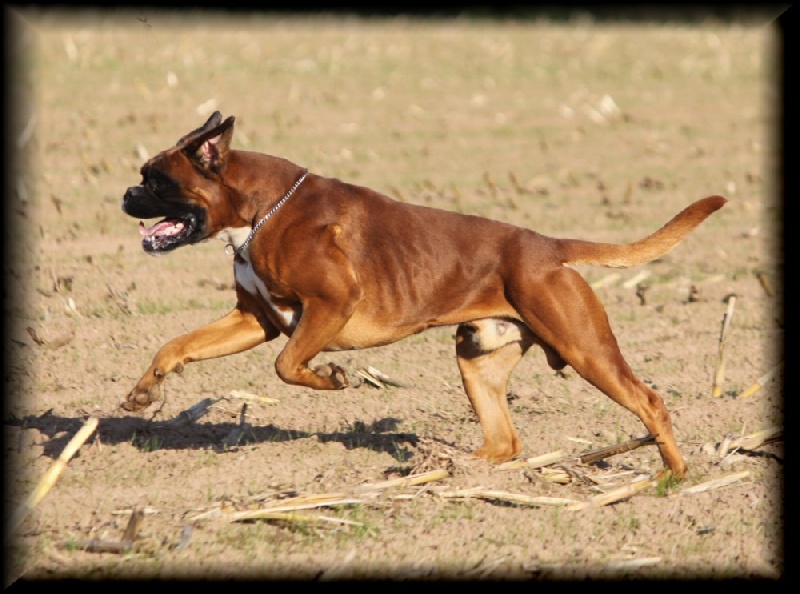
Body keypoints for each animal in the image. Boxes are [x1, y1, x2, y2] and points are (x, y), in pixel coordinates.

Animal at [121, 111, 726, 478]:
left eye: (157, 181)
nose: (126, 194)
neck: (258, 210)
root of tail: (547, 247)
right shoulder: (255, 319)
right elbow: (176, 346)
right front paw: (144, 392)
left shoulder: (329, 305)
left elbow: (288, 365)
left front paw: (332, 378)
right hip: (477, 358)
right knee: (504, 442)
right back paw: (452, 466)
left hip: (585, 349)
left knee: (649, 401)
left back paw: (675, 477)